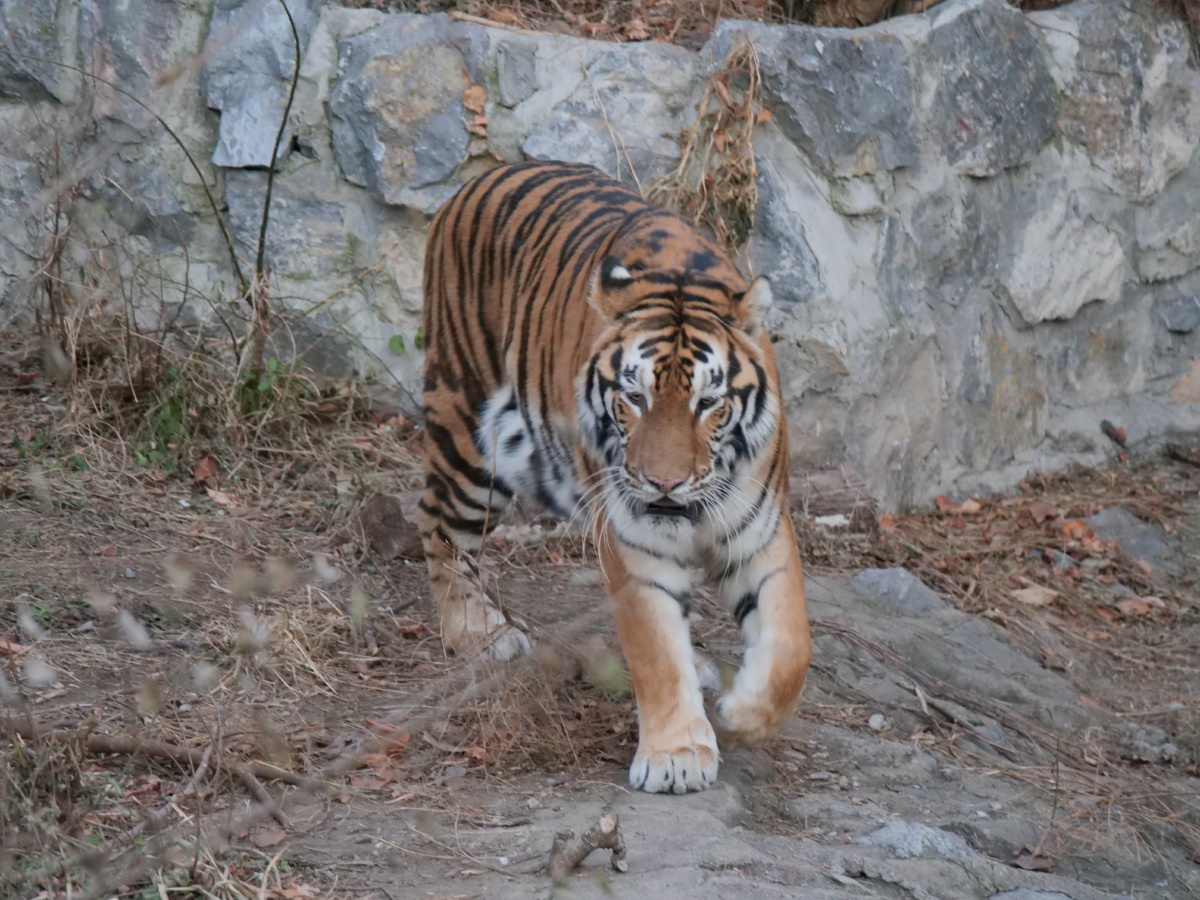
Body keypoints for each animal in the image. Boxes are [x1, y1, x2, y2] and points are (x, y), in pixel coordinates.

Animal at [417, 160, 812, 794]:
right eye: (634, 397)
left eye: (708, 403)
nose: (664, 484)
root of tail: (487, 174)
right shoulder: (634, 542)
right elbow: (656, 648)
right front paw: (677, 757)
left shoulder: (763, 531)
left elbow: (790, 647)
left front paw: (740, 713)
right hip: (471, 435)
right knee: (438, 523)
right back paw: (478, 632)